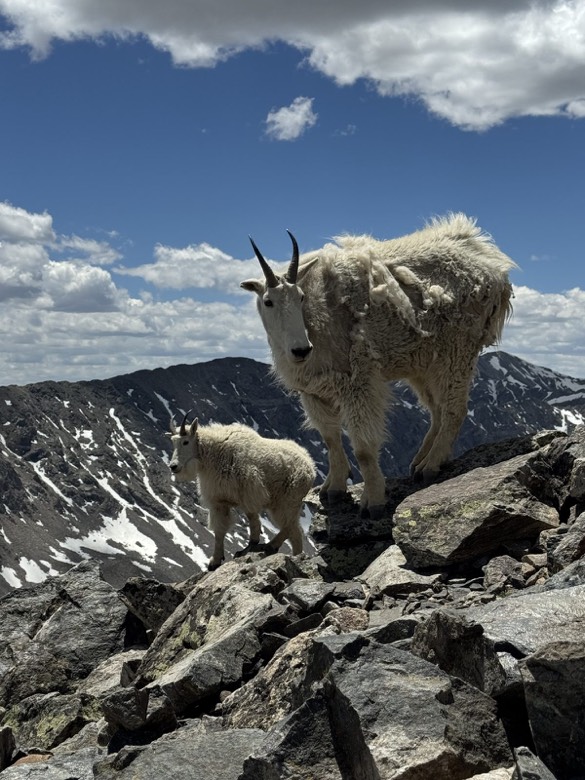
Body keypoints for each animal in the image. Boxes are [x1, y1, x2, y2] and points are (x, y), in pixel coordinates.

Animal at [168, 413, 316, 569]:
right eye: (173, 442)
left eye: (185, 442)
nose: (173, 466)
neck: (213, 452)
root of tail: (310, 466)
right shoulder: (219, 501)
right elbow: (219, 530)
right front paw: (215, 561)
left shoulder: (250, 493)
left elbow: (252, 520)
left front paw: (250, 545)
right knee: (295, 531)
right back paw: (292, 554)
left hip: (288, 500)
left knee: (291, 527)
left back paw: (271, 546)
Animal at [241, 213, 516, 518]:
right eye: (268, 301)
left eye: (300, 297)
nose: (301, 350)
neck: (315, 319)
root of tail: (493, 265)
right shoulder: (313, 390)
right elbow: (330, 438)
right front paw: (333, 489)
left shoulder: (358, 381)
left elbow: (363, 448)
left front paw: (373, 501)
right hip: (424, 363)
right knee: (438, 409)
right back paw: (420, 460)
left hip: (457, 350)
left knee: (454, 409)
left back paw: (430, 465)